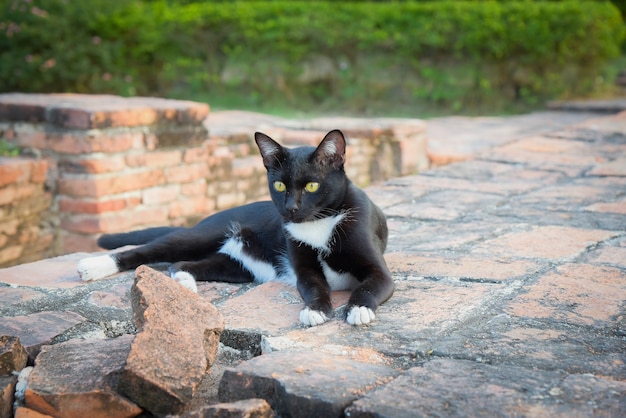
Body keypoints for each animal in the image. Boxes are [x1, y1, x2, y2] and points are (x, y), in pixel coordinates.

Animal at [77, 129, 390, 324]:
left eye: (312, 185)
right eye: (279, 185)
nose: (290, 208)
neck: (319, 223)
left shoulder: (378, 269)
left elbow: (371, 286)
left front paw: (359, 309)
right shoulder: (304, 269)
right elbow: (314, 286)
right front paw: (315, 310)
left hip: (239, 267)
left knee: (181, 263)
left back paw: (184, 282)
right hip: (202, 236)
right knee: (148, 252)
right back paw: (93, 266)